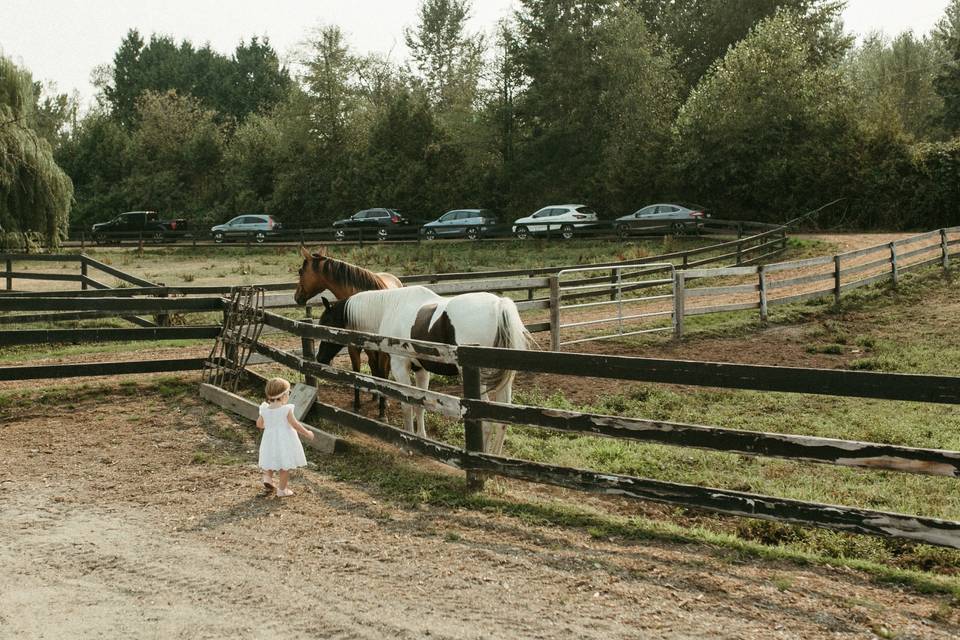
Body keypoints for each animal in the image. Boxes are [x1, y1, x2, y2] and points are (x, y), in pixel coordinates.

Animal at [290, 245, 400, 416]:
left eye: (300, 271)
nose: (297, 297)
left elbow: (383, 374)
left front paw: (383, 411)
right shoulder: (353, 347)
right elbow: (356, 372)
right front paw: (357, 405)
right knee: (373, 366)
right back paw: (375, 397)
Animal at [316, 284, 532, 456]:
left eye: (325, 322)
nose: (320, 358)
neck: (390, 308)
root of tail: (499, 305)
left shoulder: (400, 366)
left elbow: (407, 404)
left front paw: (407, 444)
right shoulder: (421, 369)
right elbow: (420, 403)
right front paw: (421, 437)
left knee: (487, 421)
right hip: (504, 381)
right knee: (502, 420)